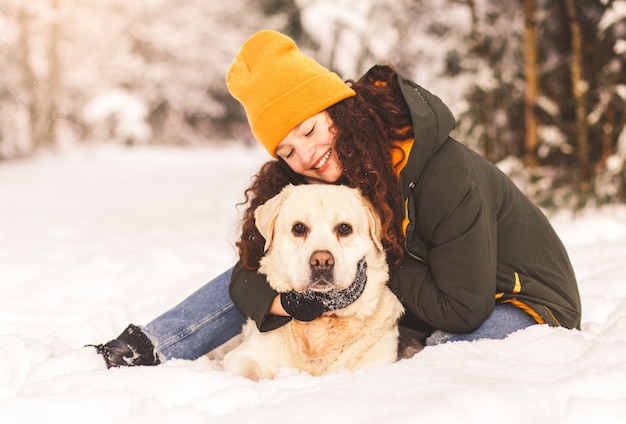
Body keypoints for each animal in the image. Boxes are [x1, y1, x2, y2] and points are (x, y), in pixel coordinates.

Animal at [222, 185, 402, 380]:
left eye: (344, 228)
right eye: (299, 228)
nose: (322, 261)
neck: (323, 322)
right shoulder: (244, 355)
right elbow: (247, 374)